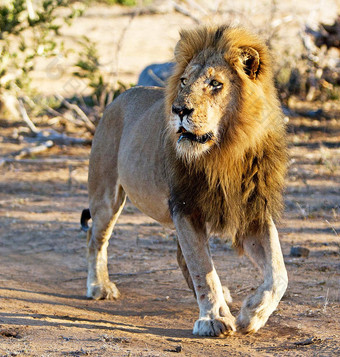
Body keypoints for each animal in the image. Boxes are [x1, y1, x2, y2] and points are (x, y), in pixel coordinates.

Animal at [81, 25, 288, 336]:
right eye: (183, 81)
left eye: (215, 84)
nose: (179, 110)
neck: (225, 152)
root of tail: (120, 95)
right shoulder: (186, 206)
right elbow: (202, 266)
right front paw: (214, 319)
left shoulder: (250, 210)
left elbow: (278, 272)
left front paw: (252, 314)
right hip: (106, 196)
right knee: (96, 239)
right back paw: (99, 286)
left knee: (181, 258)